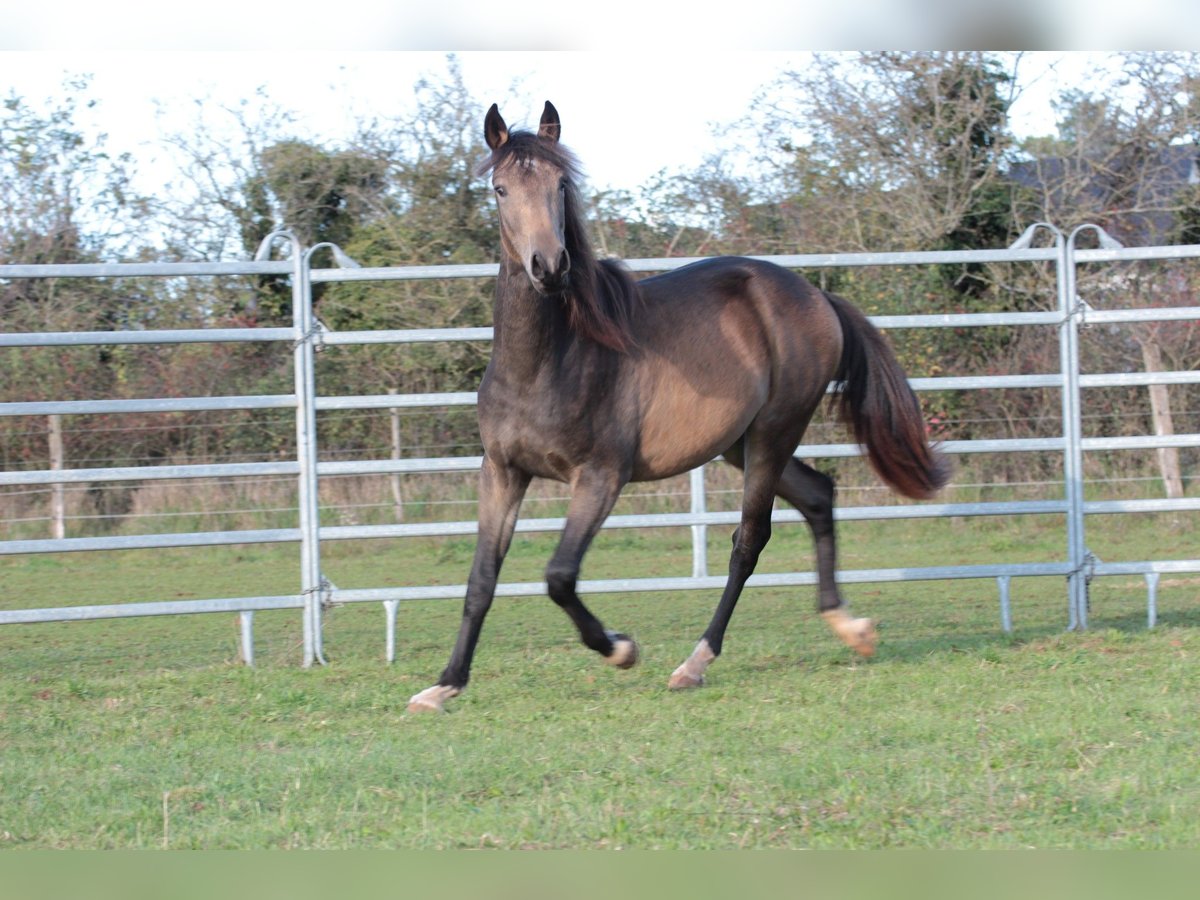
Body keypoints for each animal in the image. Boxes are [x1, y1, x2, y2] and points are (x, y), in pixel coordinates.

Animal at [408, 100, 950, 720]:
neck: (548, 361)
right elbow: (481, 581)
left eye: (561, 184)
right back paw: (851, 629)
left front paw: (620, 649)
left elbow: (559, 576)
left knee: (749, 541)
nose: (549, 266)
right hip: (740, 444)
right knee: (818, 496)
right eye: (500, 189)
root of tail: (816, 296)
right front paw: (444, 685)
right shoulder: (502, 472)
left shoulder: (601, 477)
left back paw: (695, 663)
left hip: (774, 432)